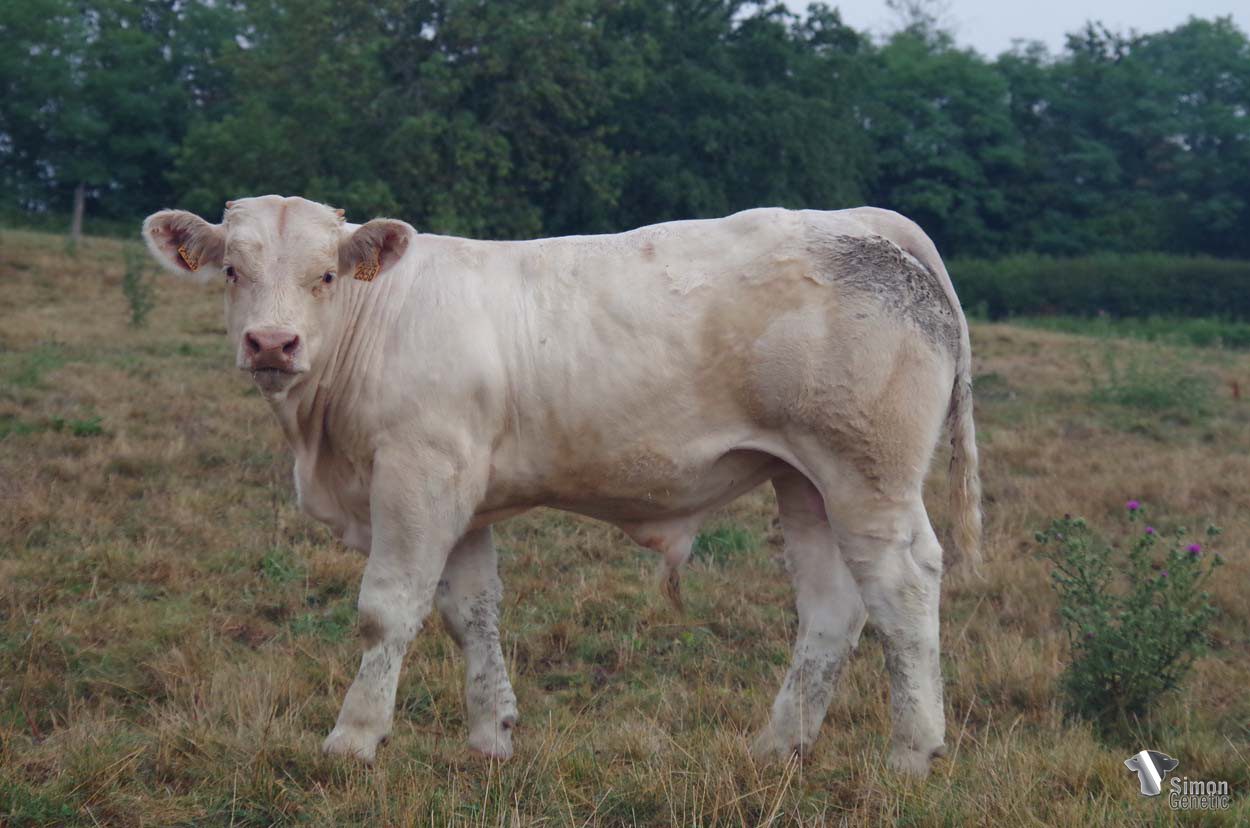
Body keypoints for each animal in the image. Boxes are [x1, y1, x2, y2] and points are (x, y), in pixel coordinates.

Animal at [141, 195, 981, 776]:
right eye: (232, 271)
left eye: (324, 276)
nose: (272, 343)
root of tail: (858, 219)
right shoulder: (463, 496)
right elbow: (470, 613)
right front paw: (491, 738)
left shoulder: (418, 475)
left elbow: (388, 610)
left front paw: (353, 738)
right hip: (806, 481)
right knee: (833, 608)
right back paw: (776, 747)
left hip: (869, 477)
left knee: (904, 586)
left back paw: (912, 753)